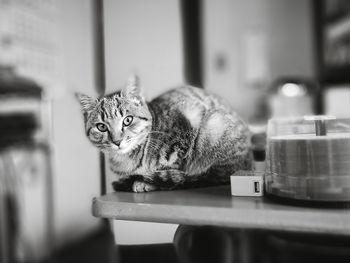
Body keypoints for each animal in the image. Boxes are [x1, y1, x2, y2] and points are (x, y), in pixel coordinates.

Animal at [76, 77, 252, 193]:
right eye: (101, 127)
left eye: (127, 120)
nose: (117, 141)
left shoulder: (185, 129)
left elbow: (174, 169)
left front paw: (147, 182)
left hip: (215, 124)